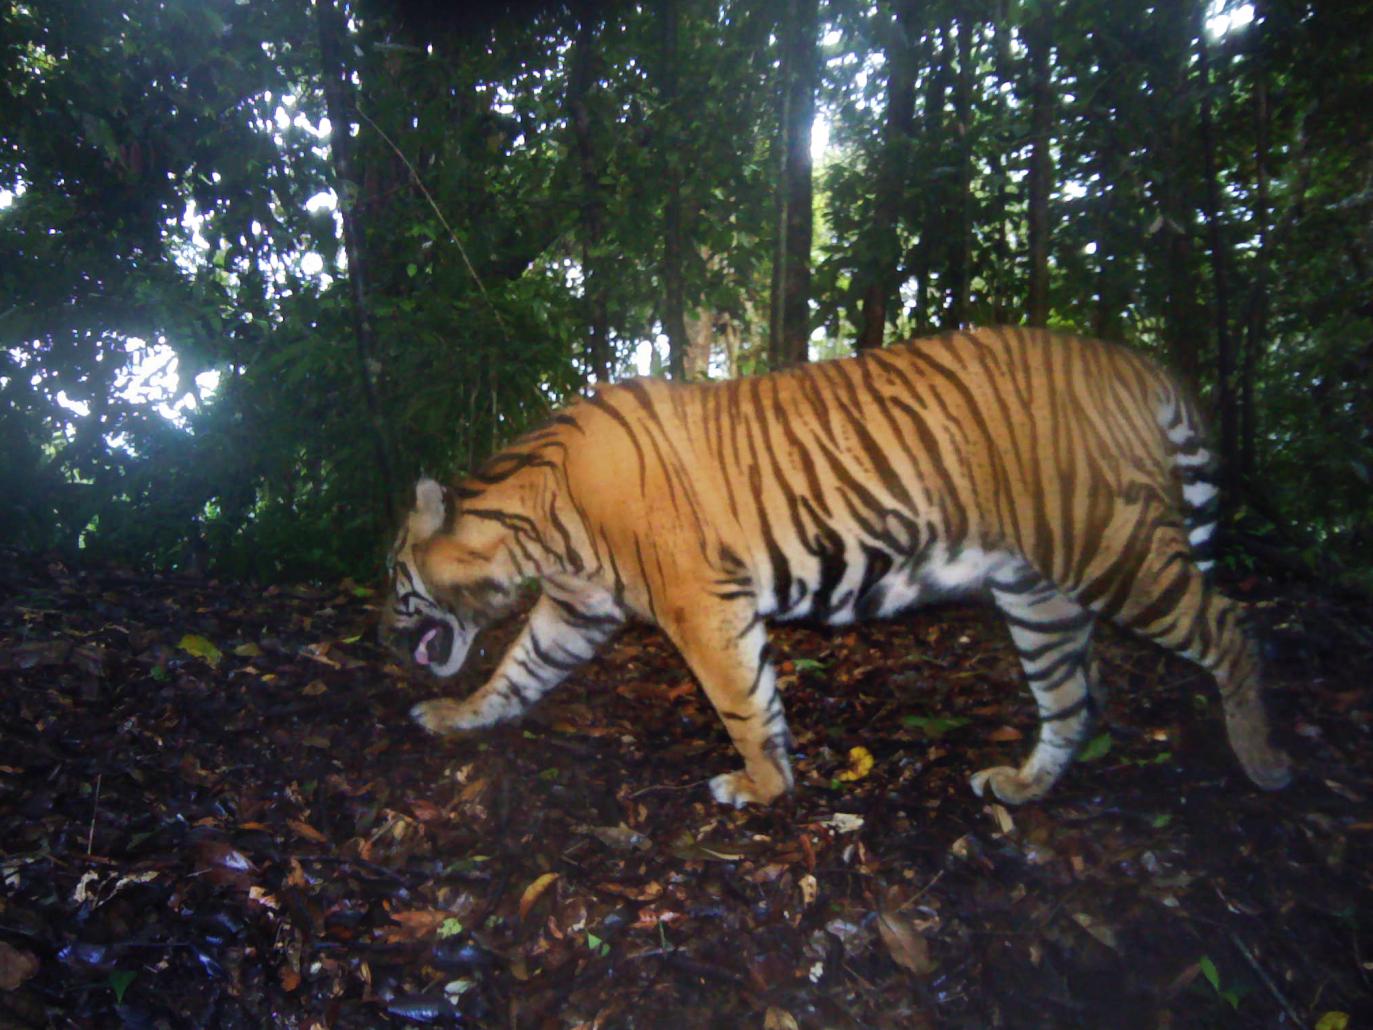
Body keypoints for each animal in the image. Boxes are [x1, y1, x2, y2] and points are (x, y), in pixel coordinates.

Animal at [381, 326, 1290, 813]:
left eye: (396, 582)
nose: (381, 629)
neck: (535, 524)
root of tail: (1139, 363)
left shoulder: (702, 606)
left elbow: (741, 703)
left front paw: (759, 787)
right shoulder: (578, 609)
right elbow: (516, 672)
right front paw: (457, 716)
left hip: (1115, 552)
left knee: (1233, 627)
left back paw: (1265, 764)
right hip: (1037, 593)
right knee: (1068, 698)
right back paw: (1022, 786)